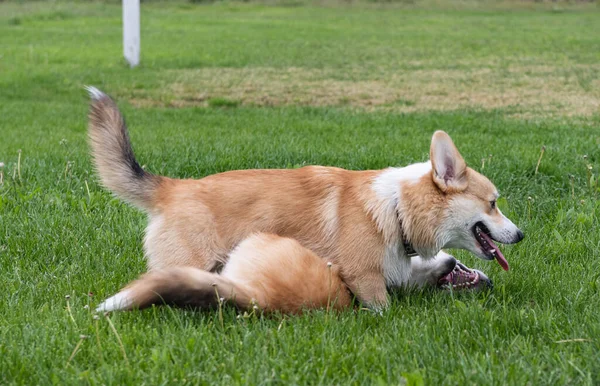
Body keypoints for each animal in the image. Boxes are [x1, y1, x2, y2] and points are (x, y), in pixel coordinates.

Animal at [86, 86, 524, 310]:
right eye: (493, 203)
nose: (520, 235)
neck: (396, 208)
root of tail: (171, 187)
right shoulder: (365, 279)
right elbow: (379, 307)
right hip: (195, 259)